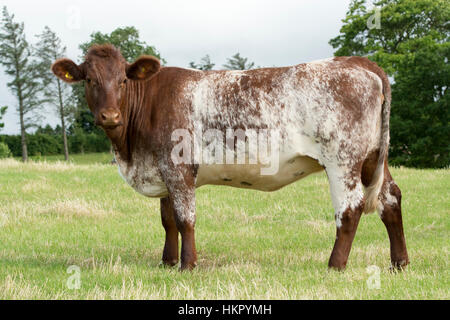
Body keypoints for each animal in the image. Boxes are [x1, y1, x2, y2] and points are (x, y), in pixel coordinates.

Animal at [51, 44, 408, 270]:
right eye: (89, 79)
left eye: (123, 80)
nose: (110, 115)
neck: (129, 149)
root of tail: (359, 62)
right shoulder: (162, 169)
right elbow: (167, 220)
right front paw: (167, 262)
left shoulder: (178, 168)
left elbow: (185, 218)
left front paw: (187, 265)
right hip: (373, 157)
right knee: (390, 198)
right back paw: (399, 262)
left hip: (342, 159)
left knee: (350, 208)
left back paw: (335, 265)